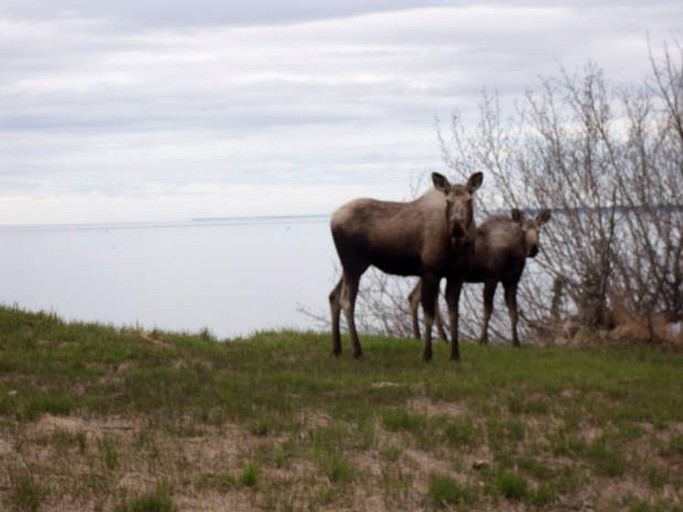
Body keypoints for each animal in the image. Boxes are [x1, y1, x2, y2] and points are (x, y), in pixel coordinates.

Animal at [328, 171, 484, 360]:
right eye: (448, 201)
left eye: (469, 199)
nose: (457, 225)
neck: (457, 246)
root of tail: (332, 220)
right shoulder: (430, 272)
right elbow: (429, 314)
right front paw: (426, 354)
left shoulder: (457, 275)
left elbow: (454, 314)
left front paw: (455, 355)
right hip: (353, 264)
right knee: (346, 300)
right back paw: (357, 350)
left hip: (353, 266)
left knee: (334, 296)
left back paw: (337, 348)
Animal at [412, 208, 552, 348]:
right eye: (523, 231)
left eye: (539, 231)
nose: (534, 249)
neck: (514, 256)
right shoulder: (491, 277)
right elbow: (487, 310)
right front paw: (483, 341)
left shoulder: (512, 281)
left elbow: (514, 312)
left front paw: (516, 343)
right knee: (417, 297)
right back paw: (421, 335)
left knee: (417, 296)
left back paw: (437, 337)